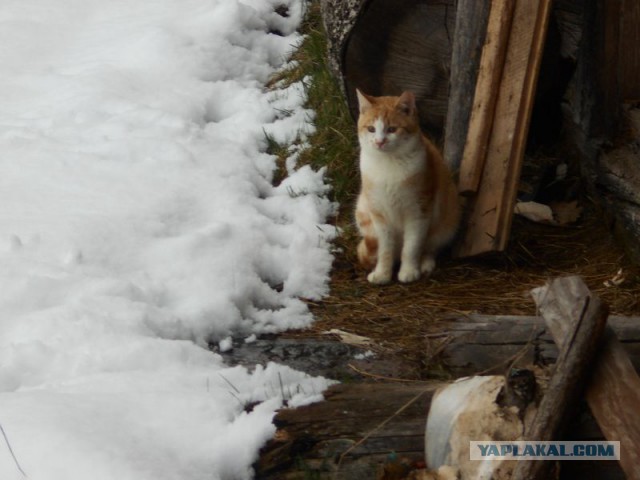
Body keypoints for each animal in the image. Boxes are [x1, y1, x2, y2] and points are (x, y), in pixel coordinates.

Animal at [356, 88, 460, 284]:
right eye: (371, 129)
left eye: (392, 129)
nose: (379, 142)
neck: (388, 164)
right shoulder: (379, 215)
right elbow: (385, 250)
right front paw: (382, 273)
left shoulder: (418, 211)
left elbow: (412, 247)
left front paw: (409, 271)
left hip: (447, 219)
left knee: (430, 247)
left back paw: (425, 264)